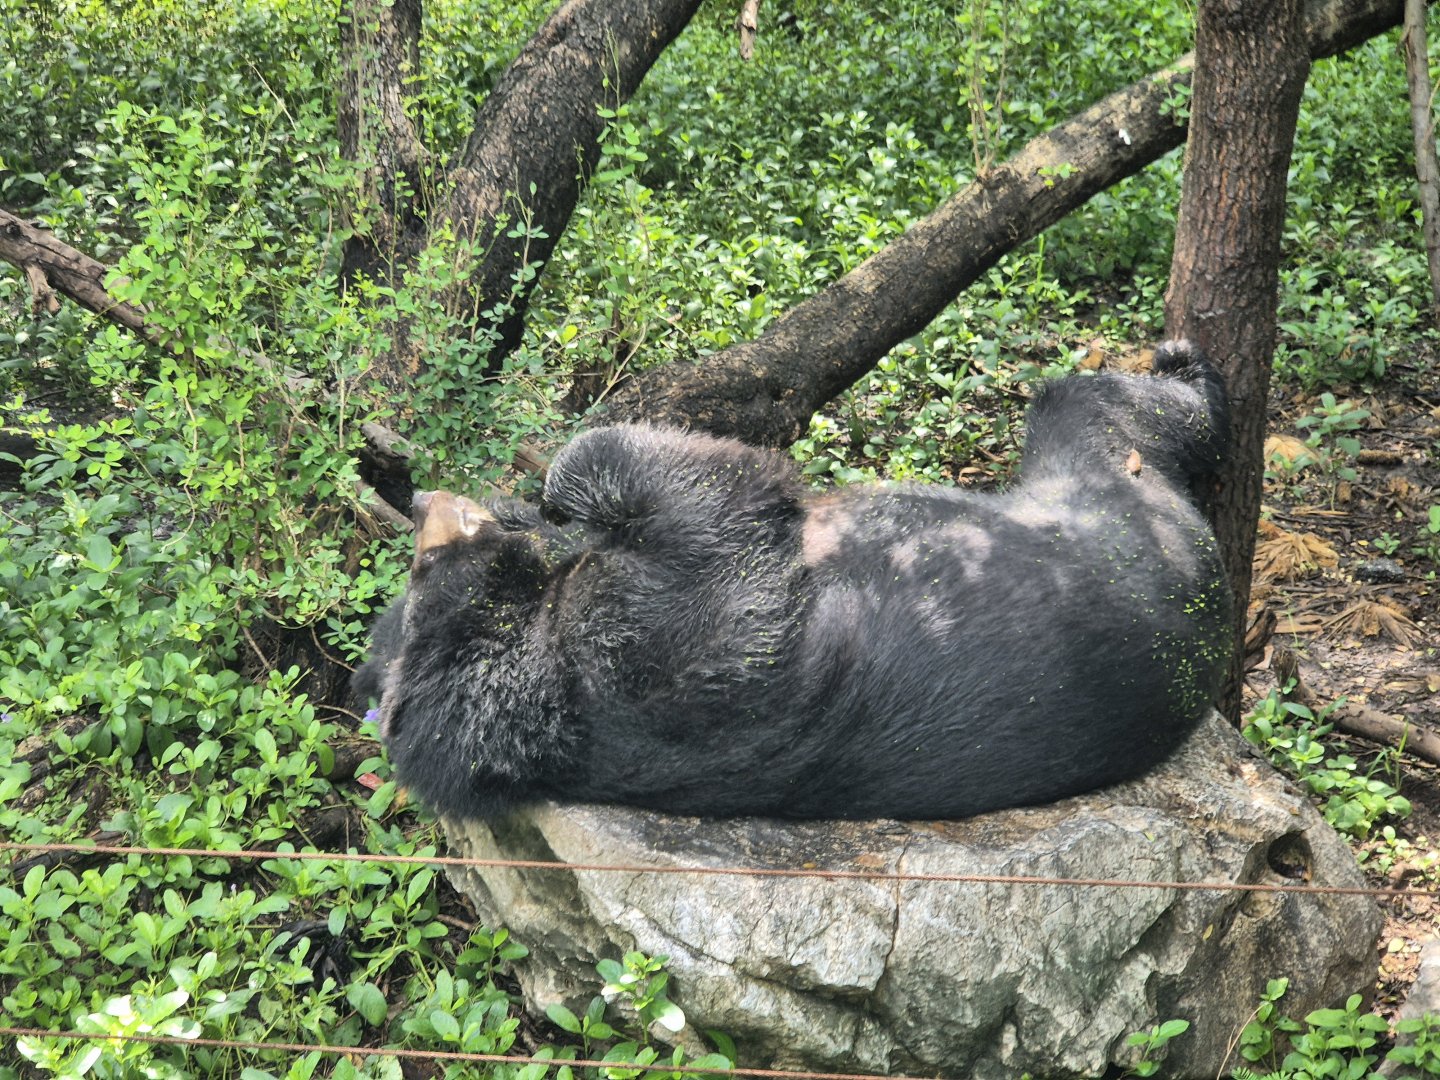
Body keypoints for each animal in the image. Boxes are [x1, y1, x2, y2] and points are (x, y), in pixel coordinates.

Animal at [362, 340, 1233, 821]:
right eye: (423, 566)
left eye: (404, 584)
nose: (424, 500)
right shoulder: (659, 616)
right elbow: (683, 476)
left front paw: (530, 508)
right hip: (1109, 478)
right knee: (1103, 403)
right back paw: (1184, 372)